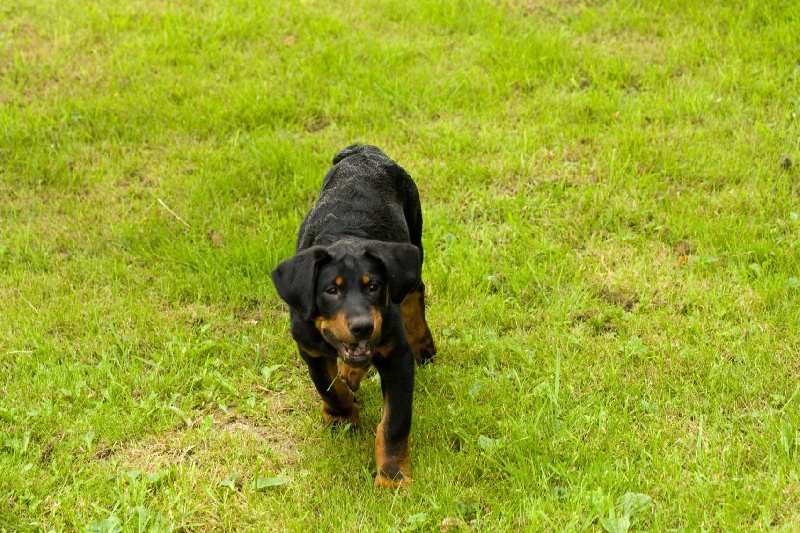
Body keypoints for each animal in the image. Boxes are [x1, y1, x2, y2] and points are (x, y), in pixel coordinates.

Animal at [271, 144, 436, 487]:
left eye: (373, 286)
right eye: (331, 291)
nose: (363, 326)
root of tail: (365, 150)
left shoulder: (397, 357)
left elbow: (395, 422)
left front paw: (392, 478)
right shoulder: (310, 349)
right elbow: (330, 389)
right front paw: (341, 416)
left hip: (414, 235)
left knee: (415, 291)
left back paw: (424, 344)